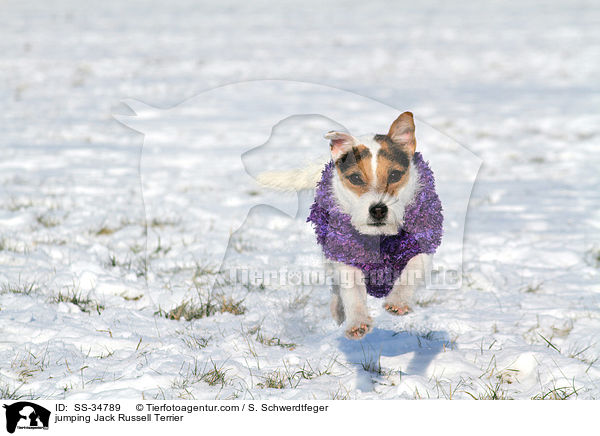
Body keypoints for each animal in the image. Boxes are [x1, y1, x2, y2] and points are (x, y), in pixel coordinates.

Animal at [256, 112, 440, 338]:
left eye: (395, 175)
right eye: (355, 178)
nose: (378, 209)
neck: (379, 236)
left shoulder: (422, 245)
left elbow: (412, 270)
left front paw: (398, 302)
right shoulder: (346, 255)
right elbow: (351, 290)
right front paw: (358, 322)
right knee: (336, 285)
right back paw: (338, 309)